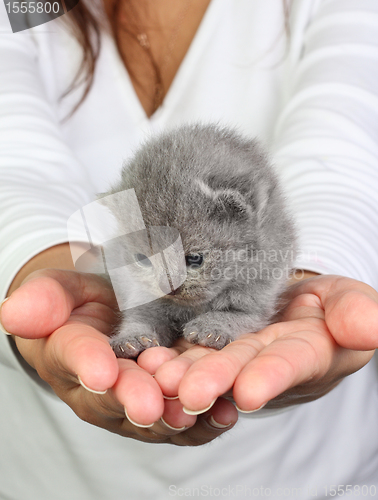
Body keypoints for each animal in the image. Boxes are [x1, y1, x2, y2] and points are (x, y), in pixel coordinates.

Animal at [99, 123, 296, 358]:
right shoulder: (142, 295)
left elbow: (234, 315)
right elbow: (140, 316)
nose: (169, 288)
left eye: (195, 259)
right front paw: (132, 338)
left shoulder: (256, 302)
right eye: (143, 259)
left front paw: (209, 328)